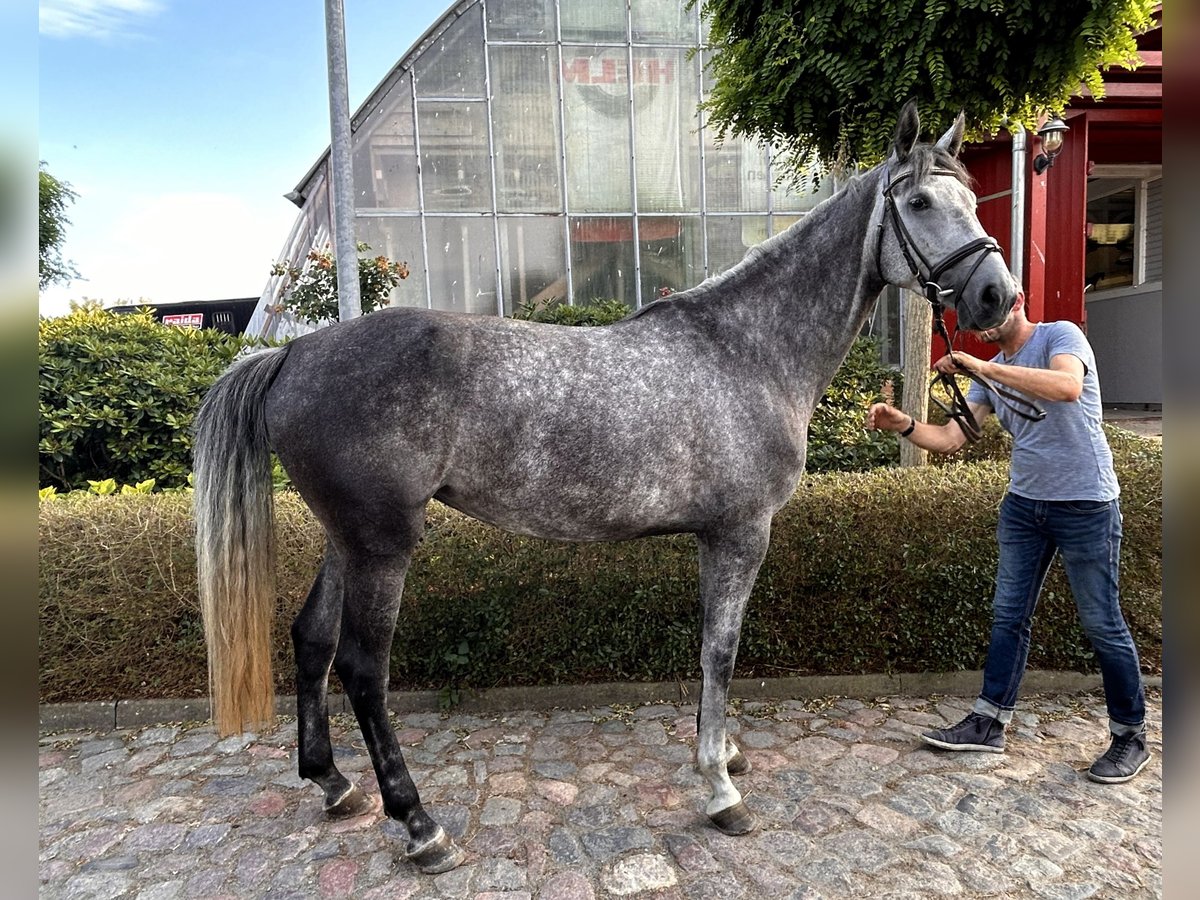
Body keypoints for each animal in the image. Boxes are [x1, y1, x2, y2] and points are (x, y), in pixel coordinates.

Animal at [194, 103, 1012, 873]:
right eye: (920, 203)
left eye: (973, 197)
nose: (997, 297)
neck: (746, 351)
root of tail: (295, 352)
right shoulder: (741, 533)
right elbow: (721, 650)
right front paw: (721, 788)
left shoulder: (718, 538)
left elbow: (714, 648)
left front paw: (726, 752)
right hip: (383, 545)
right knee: (364, 671)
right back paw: (421, 827)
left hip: (346, 540)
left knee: (311, 639)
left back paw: (335, 785)